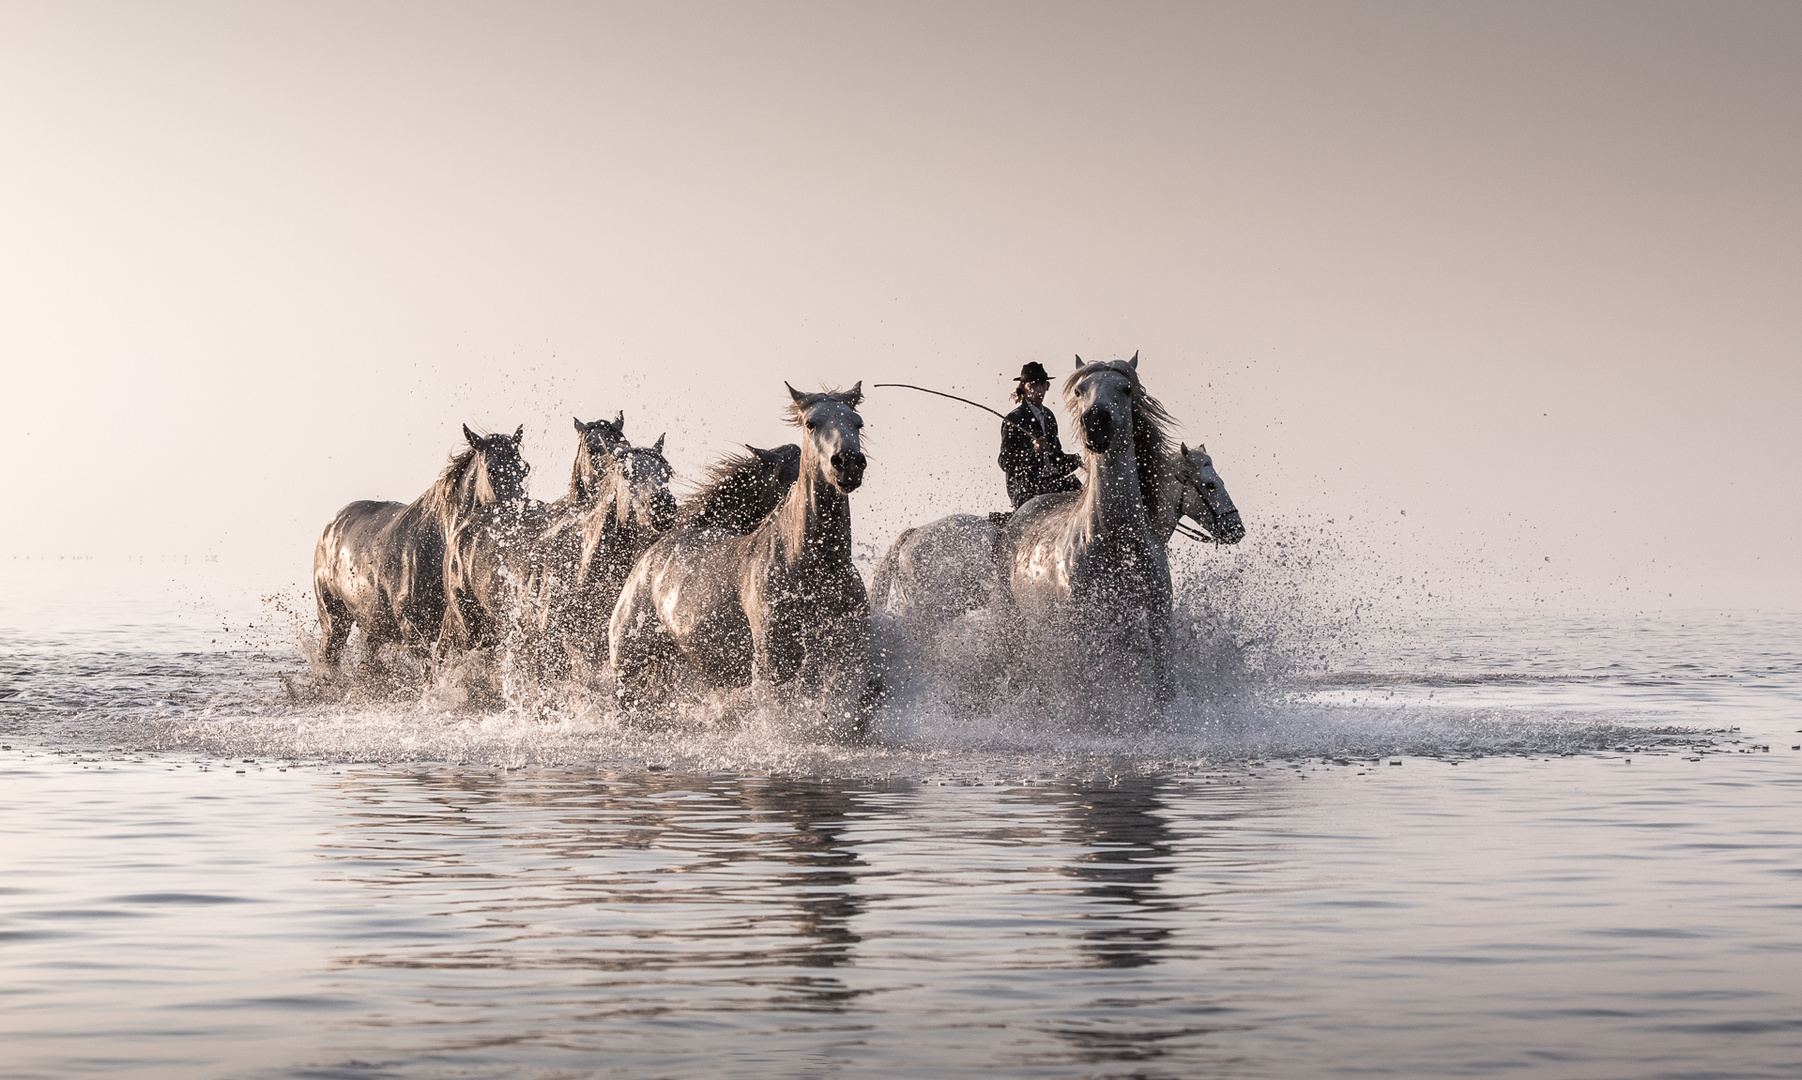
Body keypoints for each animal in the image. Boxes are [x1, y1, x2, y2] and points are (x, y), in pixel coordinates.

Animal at [313, 427, 526, 670]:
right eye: (491, 469)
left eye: (525, 469)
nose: (520, 519)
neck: (437, 547)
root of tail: (330, 525)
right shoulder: (414, 632)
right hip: (334, 621)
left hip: (373, 627)